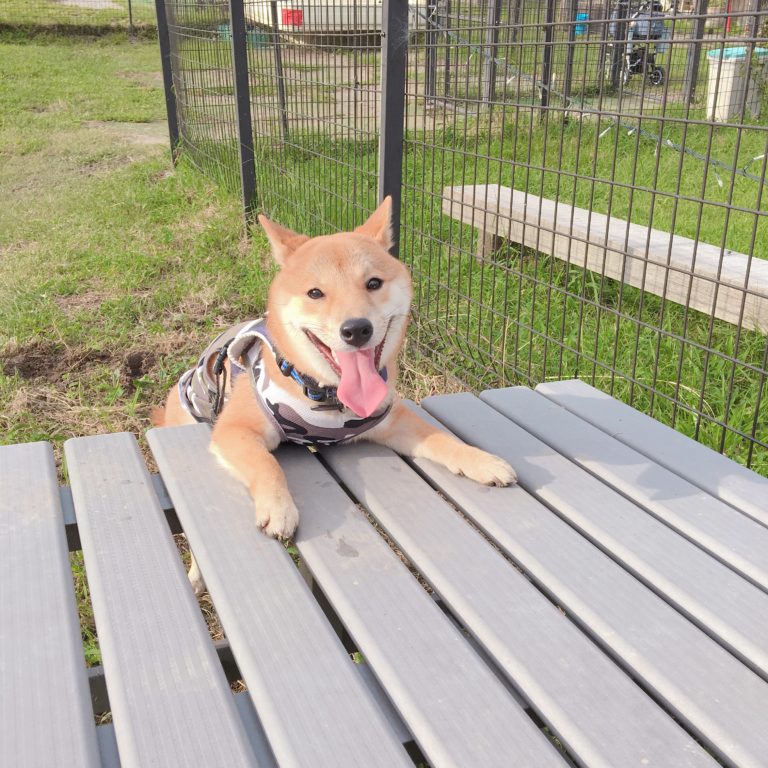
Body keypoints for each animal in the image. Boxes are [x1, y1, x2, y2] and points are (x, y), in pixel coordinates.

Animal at [154, 201, 516, 544]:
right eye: (315, 293)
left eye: (373, 283)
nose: (356, 329)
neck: (327, 397)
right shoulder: (236, 429)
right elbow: (266, 465)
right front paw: (278, 508)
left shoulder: (391, 419)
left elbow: (441, 437)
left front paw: (481, 460)